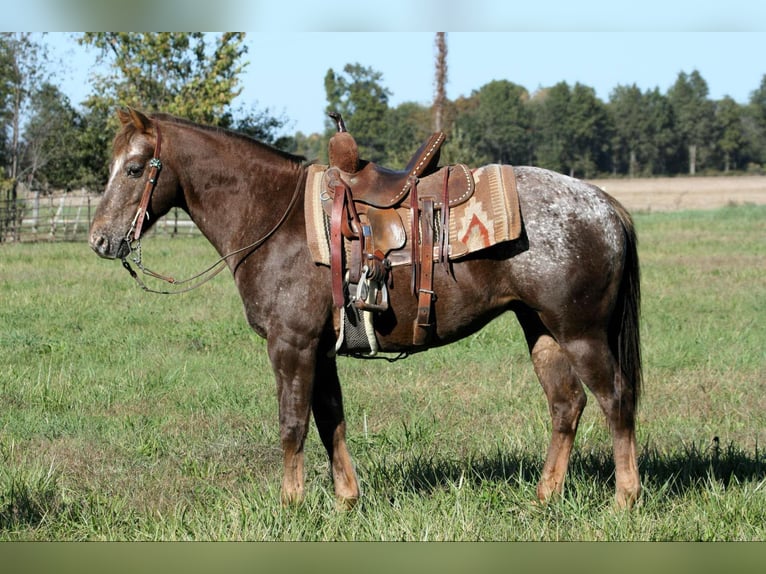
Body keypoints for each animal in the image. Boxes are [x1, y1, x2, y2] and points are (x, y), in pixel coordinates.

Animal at [87, 110, 644, 510]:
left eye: (134, 169)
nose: (100, 240)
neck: (274, 217)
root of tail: (603, 204)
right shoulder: (320, 349)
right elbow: (330, 419)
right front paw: (345, 501)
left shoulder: (291, 345)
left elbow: (293, 423)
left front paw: (291, 505)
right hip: (542, 329)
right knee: (566, 404)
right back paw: (546, 496)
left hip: (581, 333)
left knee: (615, 400)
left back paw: (624, 498)